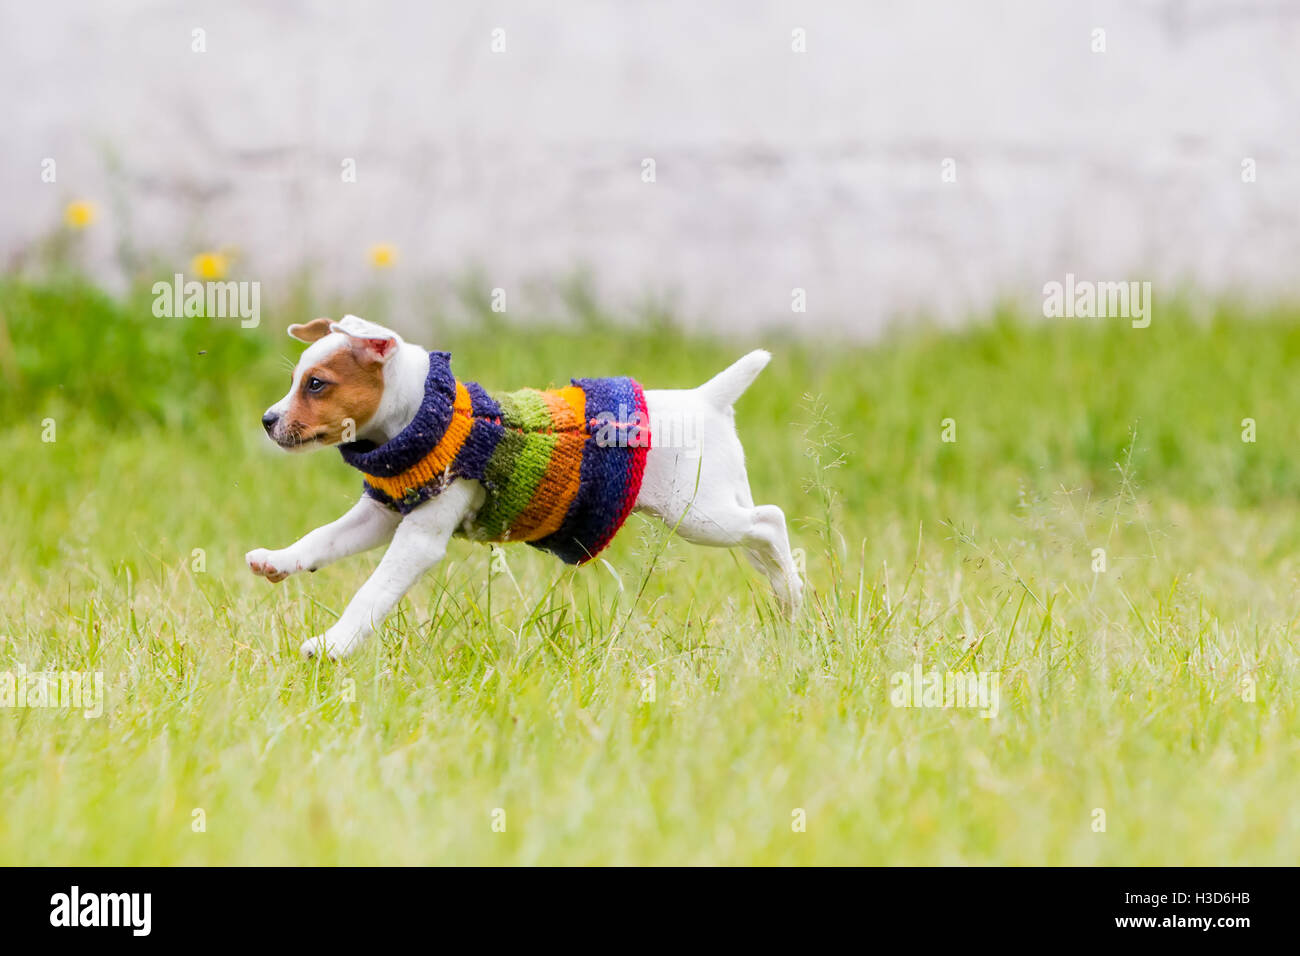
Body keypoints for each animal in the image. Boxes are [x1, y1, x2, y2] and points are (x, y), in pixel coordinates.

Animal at [239, 314, 795, 658]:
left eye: (316, 384)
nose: (266, 421)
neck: (430, 415)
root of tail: (706, 398)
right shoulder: (380, 514)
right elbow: (321, 539)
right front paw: (278, 561)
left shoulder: (417, 539)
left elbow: (371, 592)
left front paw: (331, 646)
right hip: (719, 507)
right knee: (761, 538)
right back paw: (786, 596)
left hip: (698, 513)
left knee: (770, 520)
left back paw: (792, 593)